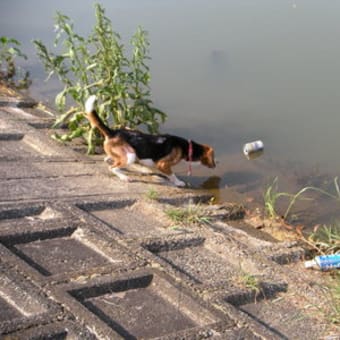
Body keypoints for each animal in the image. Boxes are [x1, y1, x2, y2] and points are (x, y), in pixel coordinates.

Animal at [84, 94, 215, 187]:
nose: (215, 165)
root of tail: (112, 132)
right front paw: (178, 183)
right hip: (130, 155)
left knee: (108, 160)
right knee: (112, 168)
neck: (186, 147)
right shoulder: (163, 164)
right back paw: (125, 177)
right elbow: (172, 175)